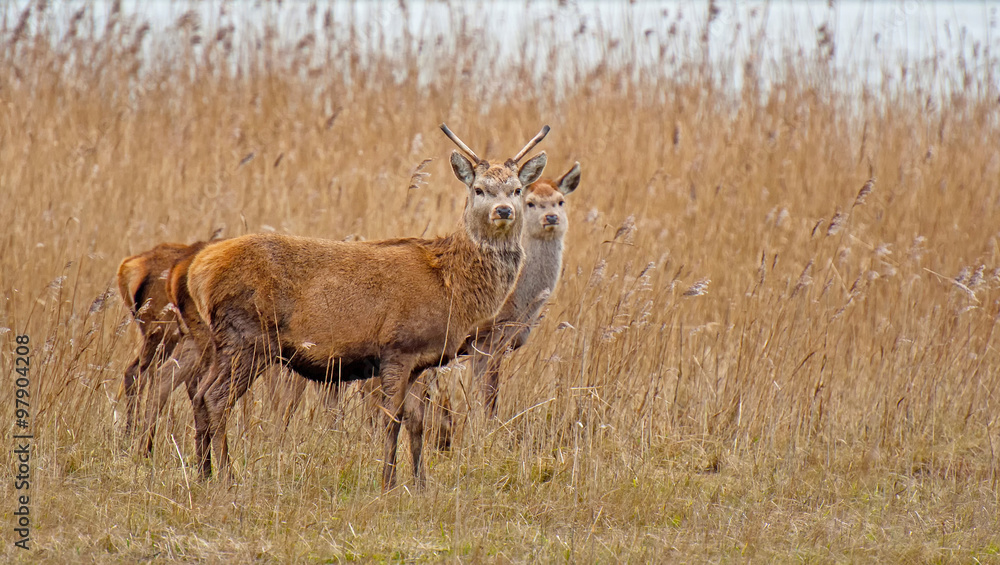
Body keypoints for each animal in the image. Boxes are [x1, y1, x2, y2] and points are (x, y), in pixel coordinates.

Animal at [180, 124, 549, 489]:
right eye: (479, 189)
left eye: (517, 190)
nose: (503, 211)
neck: (450, 284)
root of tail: (198, 271)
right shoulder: (397, 347)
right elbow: (391, 419)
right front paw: (388, 481)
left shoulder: (423, 359)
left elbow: (417, 422)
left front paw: (420, 483)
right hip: (248, 336)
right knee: (216, 398)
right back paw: (227, 477)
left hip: (226, 342)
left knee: (199, 395)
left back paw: (203, 473)